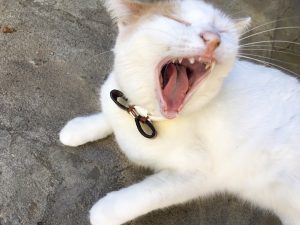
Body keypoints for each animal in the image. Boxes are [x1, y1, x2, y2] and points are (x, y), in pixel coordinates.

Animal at [59, 0, 300, 225]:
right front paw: (78, 129)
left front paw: (105, 211)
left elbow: (147, 194)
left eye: (222, 30)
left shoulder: (199, 174)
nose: (213, 38)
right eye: (178, 21)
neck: (146, 118)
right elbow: (110, 113)